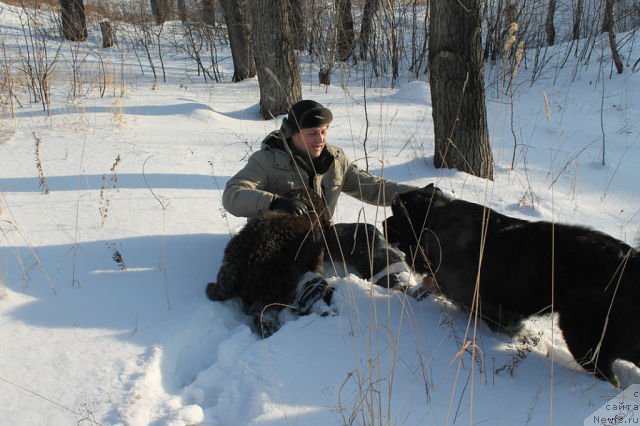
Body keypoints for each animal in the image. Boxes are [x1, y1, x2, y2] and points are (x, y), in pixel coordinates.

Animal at [384, 185, 640, 384]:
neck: (435, 223)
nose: (384, 223)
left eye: (397, 214)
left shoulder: (487, 306)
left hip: (583, 333)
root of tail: (631, 264)